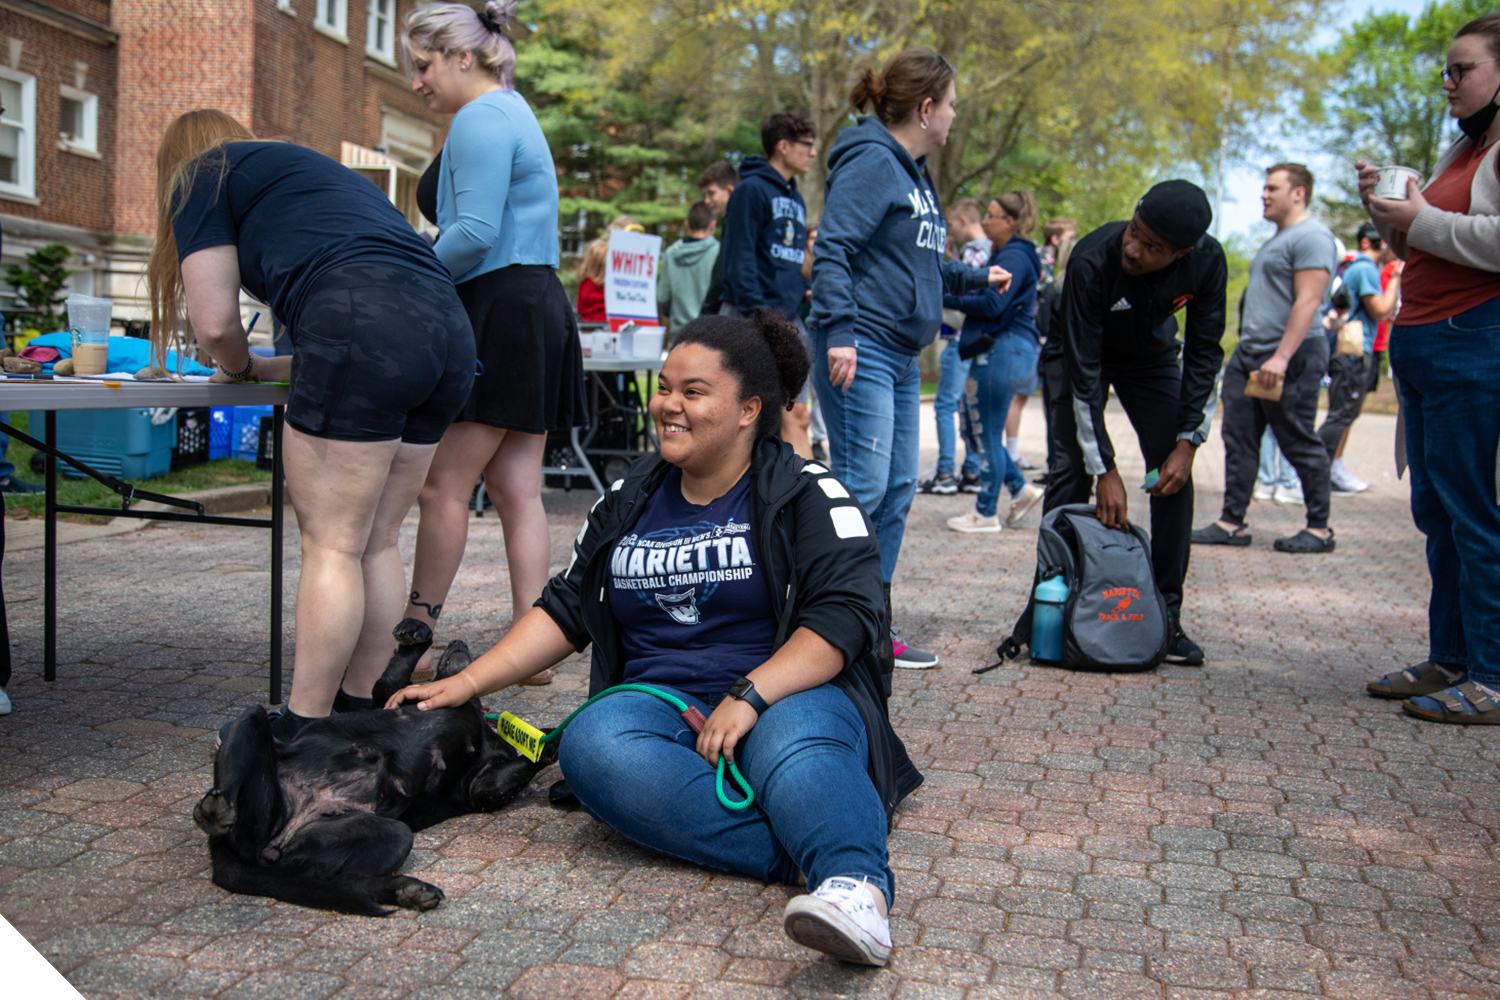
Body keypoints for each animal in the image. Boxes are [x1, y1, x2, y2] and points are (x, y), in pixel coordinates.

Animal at [193, 620, 555, 917]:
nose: (459, 642)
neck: (473, 709)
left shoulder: (483, 786)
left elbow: (509, 773)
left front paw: (552, 739)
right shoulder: (387, 695)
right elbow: (392, 672)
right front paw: (415, 631)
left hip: (388, 835)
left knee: (348, 881)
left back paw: (409, 890)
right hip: (253, 726)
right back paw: (215, 809)